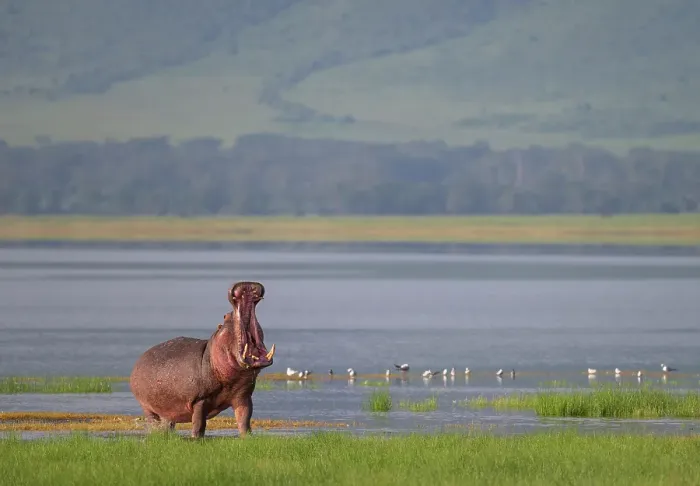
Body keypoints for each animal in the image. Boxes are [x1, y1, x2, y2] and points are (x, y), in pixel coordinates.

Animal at [129, 281, 275, 438]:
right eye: (225, 316)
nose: (247, 285)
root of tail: (139, 359)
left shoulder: (243, 396)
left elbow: (244, 419)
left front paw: (247, 437)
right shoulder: (200, 399)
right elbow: (199, 423)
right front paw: (196, 438)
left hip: (167, 411)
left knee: (168, 423)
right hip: (147, 407)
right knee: (153, 421)